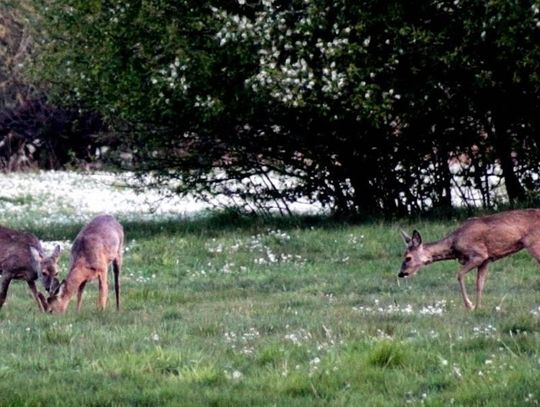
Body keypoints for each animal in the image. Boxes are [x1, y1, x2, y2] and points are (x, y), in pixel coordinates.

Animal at [396, 209, 540, 310]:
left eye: (408, 258)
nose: (401, 273)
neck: (454, 244)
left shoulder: (479, 254)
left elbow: (459, 274)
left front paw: (469, 305)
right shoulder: (486, 260)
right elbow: (479, 284)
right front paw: (478, 308)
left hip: (534, 243)